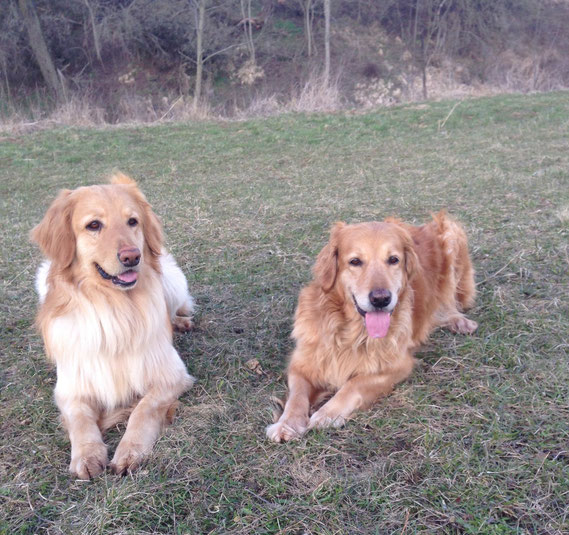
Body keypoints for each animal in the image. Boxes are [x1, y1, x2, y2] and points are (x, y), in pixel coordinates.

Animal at [31, 174, 195, 480]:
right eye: (94, 225)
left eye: (133, 221)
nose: (132, 256)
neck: (115, 307)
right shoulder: (70, 388)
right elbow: (81, 419)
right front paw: (87, 454)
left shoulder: (173, 375)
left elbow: (143, 409)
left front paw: (131, 450)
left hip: (173, 279)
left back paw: (180, 321)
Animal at [266, 211, 474, 442]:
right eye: (355, 261)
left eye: (393, 260)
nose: (381, 299)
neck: (349, 331)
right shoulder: (302, 363)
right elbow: (297, 396)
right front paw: (287, 423)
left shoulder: (398, 365)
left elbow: (353, 384)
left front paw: (327, 413)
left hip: (452, 235)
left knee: (450, 302)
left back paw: (460, 321)